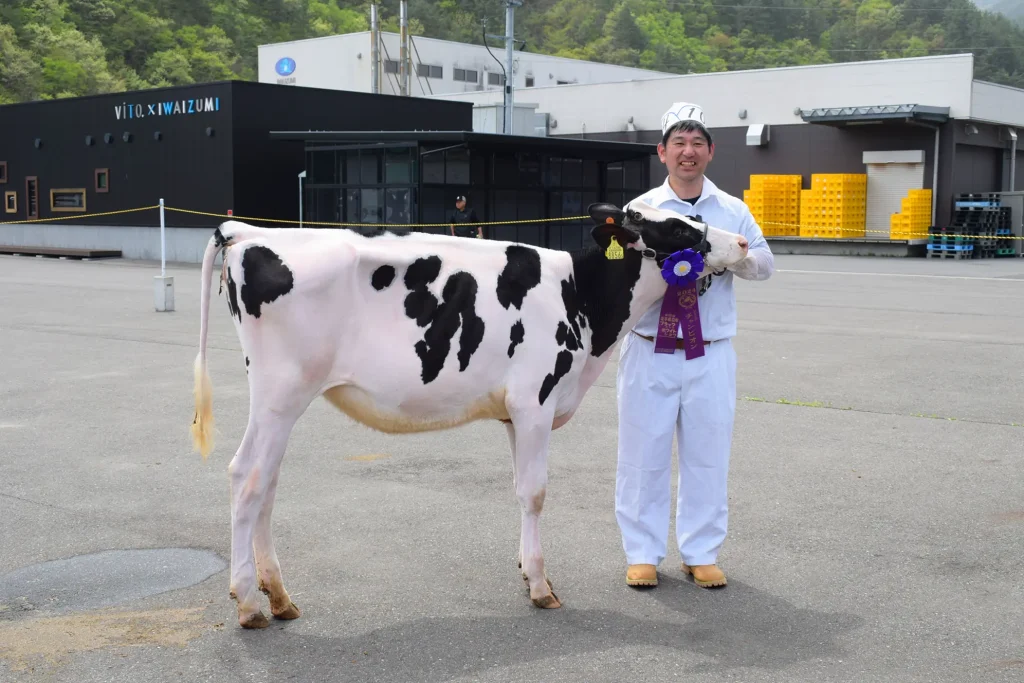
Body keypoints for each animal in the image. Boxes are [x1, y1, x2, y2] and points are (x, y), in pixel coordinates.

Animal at [192, 200, 749, 626]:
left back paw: (279, 597)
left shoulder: (513, 413)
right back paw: (248, 603)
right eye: (678, 229)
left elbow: (520, 489)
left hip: (280, 402)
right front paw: (541, 586)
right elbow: (534, 493)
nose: (744, 244)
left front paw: (527, 571)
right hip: (280, 393)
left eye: (693, 217)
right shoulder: (535, 401)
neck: (582, 300)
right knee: (246, 478)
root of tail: (248, 233)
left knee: (265, 483)